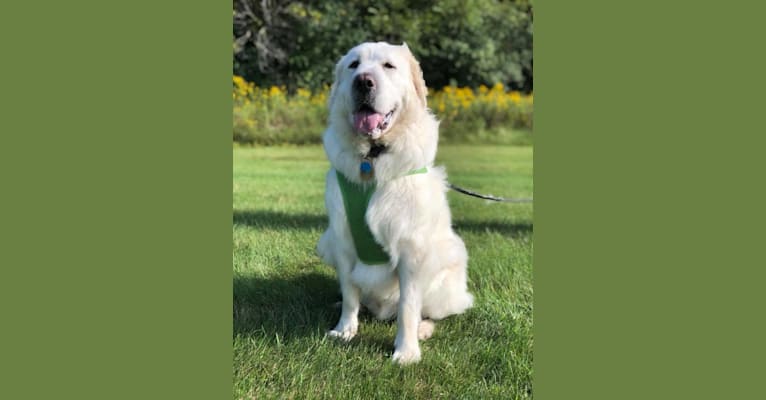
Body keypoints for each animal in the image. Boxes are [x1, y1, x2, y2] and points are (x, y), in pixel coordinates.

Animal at [318, 42, 474, 364]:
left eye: (389, 66)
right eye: (353, 65)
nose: (363, 82)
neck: (371, 158)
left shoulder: (411, 252)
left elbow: (408, 307)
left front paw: (406, 350)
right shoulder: (341, 241)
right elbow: (350, 292)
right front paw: (345, 329)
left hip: (447, 263)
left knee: (432, 312)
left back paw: (424, 329)